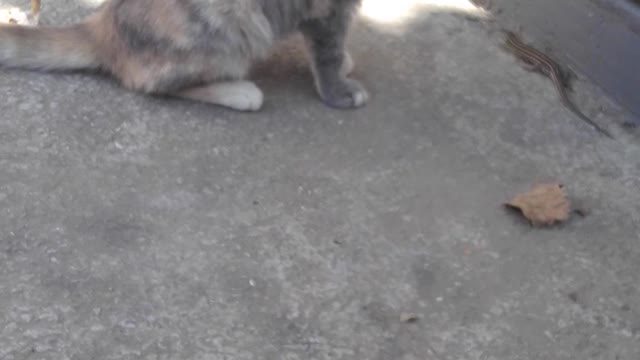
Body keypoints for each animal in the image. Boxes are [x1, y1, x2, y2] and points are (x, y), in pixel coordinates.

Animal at [0, 0, 368, 111]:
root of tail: (103, 24)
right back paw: (237, 91)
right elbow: (328, 49)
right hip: (226, 29)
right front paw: (338, 89)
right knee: (150, 82)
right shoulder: (326, 8)